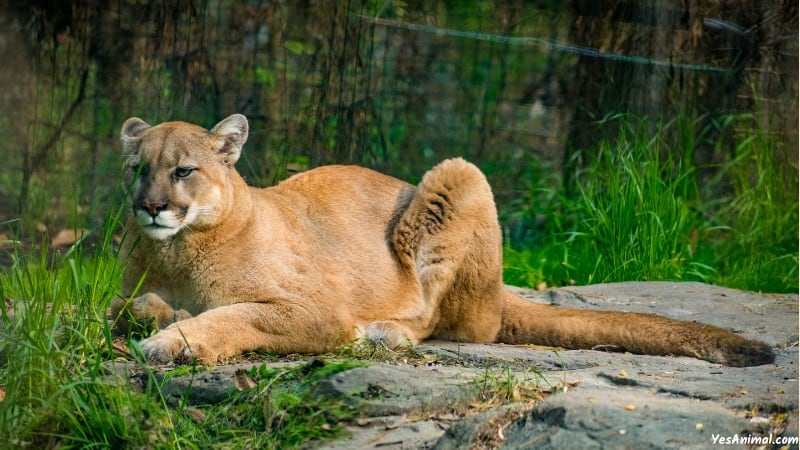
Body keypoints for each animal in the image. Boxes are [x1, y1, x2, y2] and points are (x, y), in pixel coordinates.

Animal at [112, 114, 776, 368]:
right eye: (137, 169)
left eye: (183, 170)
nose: (150, 206)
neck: (177, 251)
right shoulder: (123, 292)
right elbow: (128, 306)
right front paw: (163, 317)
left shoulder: (315, 311)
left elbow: (232, 315)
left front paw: (172, 341)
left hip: (461, 181)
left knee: (452, 322)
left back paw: (385, 333)